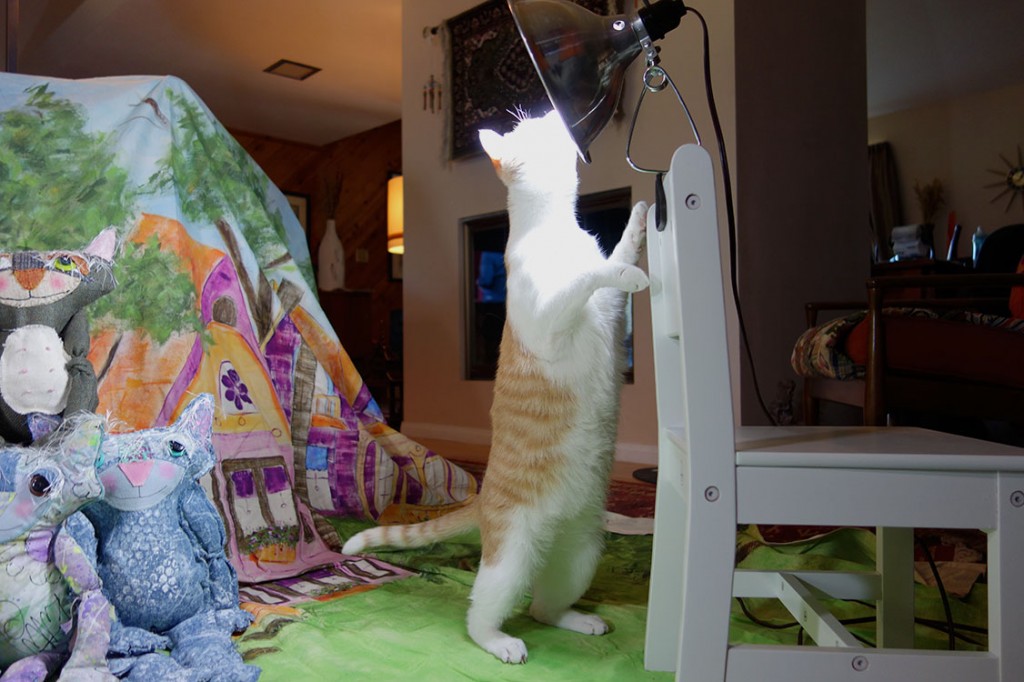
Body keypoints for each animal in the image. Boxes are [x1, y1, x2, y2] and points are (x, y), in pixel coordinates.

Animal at [344, 109, 647, 659]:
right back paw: (501, 643)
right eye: (531, 122)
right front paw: (622, 269)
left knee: (545, 606)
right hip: (511, 560)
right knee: (481, 616)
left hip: (582, 553)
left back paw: (578, 620)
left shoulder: (609, 310)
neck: (554, 226)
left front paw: (637, 219)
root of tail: (482, 499)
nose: (549, 110)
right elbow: (592, 275)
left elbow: (617, 255)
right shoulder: (548, 320)